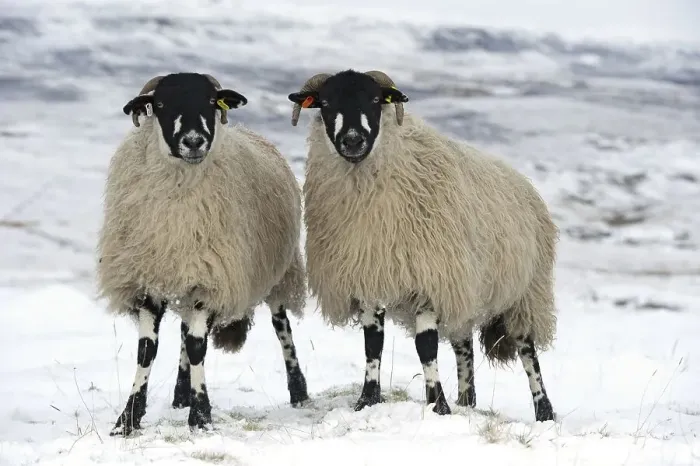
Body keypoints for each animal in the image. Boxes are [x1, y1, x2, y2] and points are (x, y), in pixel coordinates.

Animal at [97, 72, 309, 436]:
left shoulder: (212, 278)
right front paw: (128, 418)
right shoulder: (151, 280)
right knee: (185, 332)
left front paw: (200, 416)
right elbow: (147, 350)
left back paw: (298, 391)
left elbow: (198, 347)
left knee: (282, 330)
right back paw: (180, 394)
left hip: (278, 274)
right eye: (161, 103)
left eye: (211, 101)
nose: (194, 141)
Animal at [288, 69, 558, 421]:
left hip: (525, 293)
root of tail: (525, 184)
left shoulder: (429, 278)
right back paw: (466, 401)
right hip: (464, 290)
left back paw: (544, 412)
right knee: (464, 348)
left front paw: (437, 405)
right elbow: (372, 344)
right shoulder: (368, 276)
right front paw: (367, 400)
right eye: (326, 103)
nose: (353, 140)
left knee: (528, 353)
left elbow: (425, 346)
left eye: (375, 100)